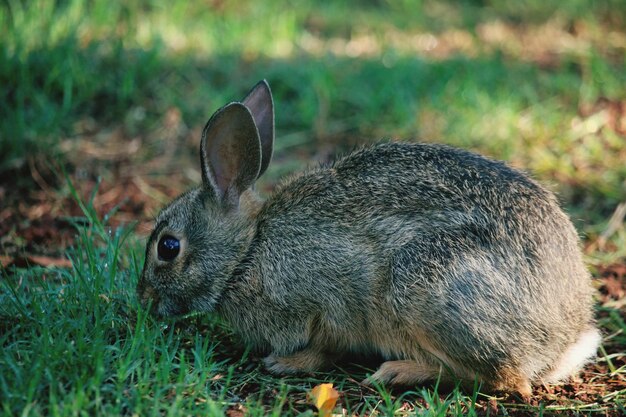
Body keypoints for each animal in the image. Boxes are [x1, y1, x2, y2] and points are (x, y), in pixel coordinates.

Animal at [138, 79, 600, 394]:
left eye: (168, 247)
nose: (144, 298)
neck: (248, 251)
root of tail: (564, 338)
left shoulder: (325, 302)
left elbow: (324, 345)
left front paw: (287, 363)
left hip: (428, 286)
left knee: (503, 379)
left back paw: (400, 371)